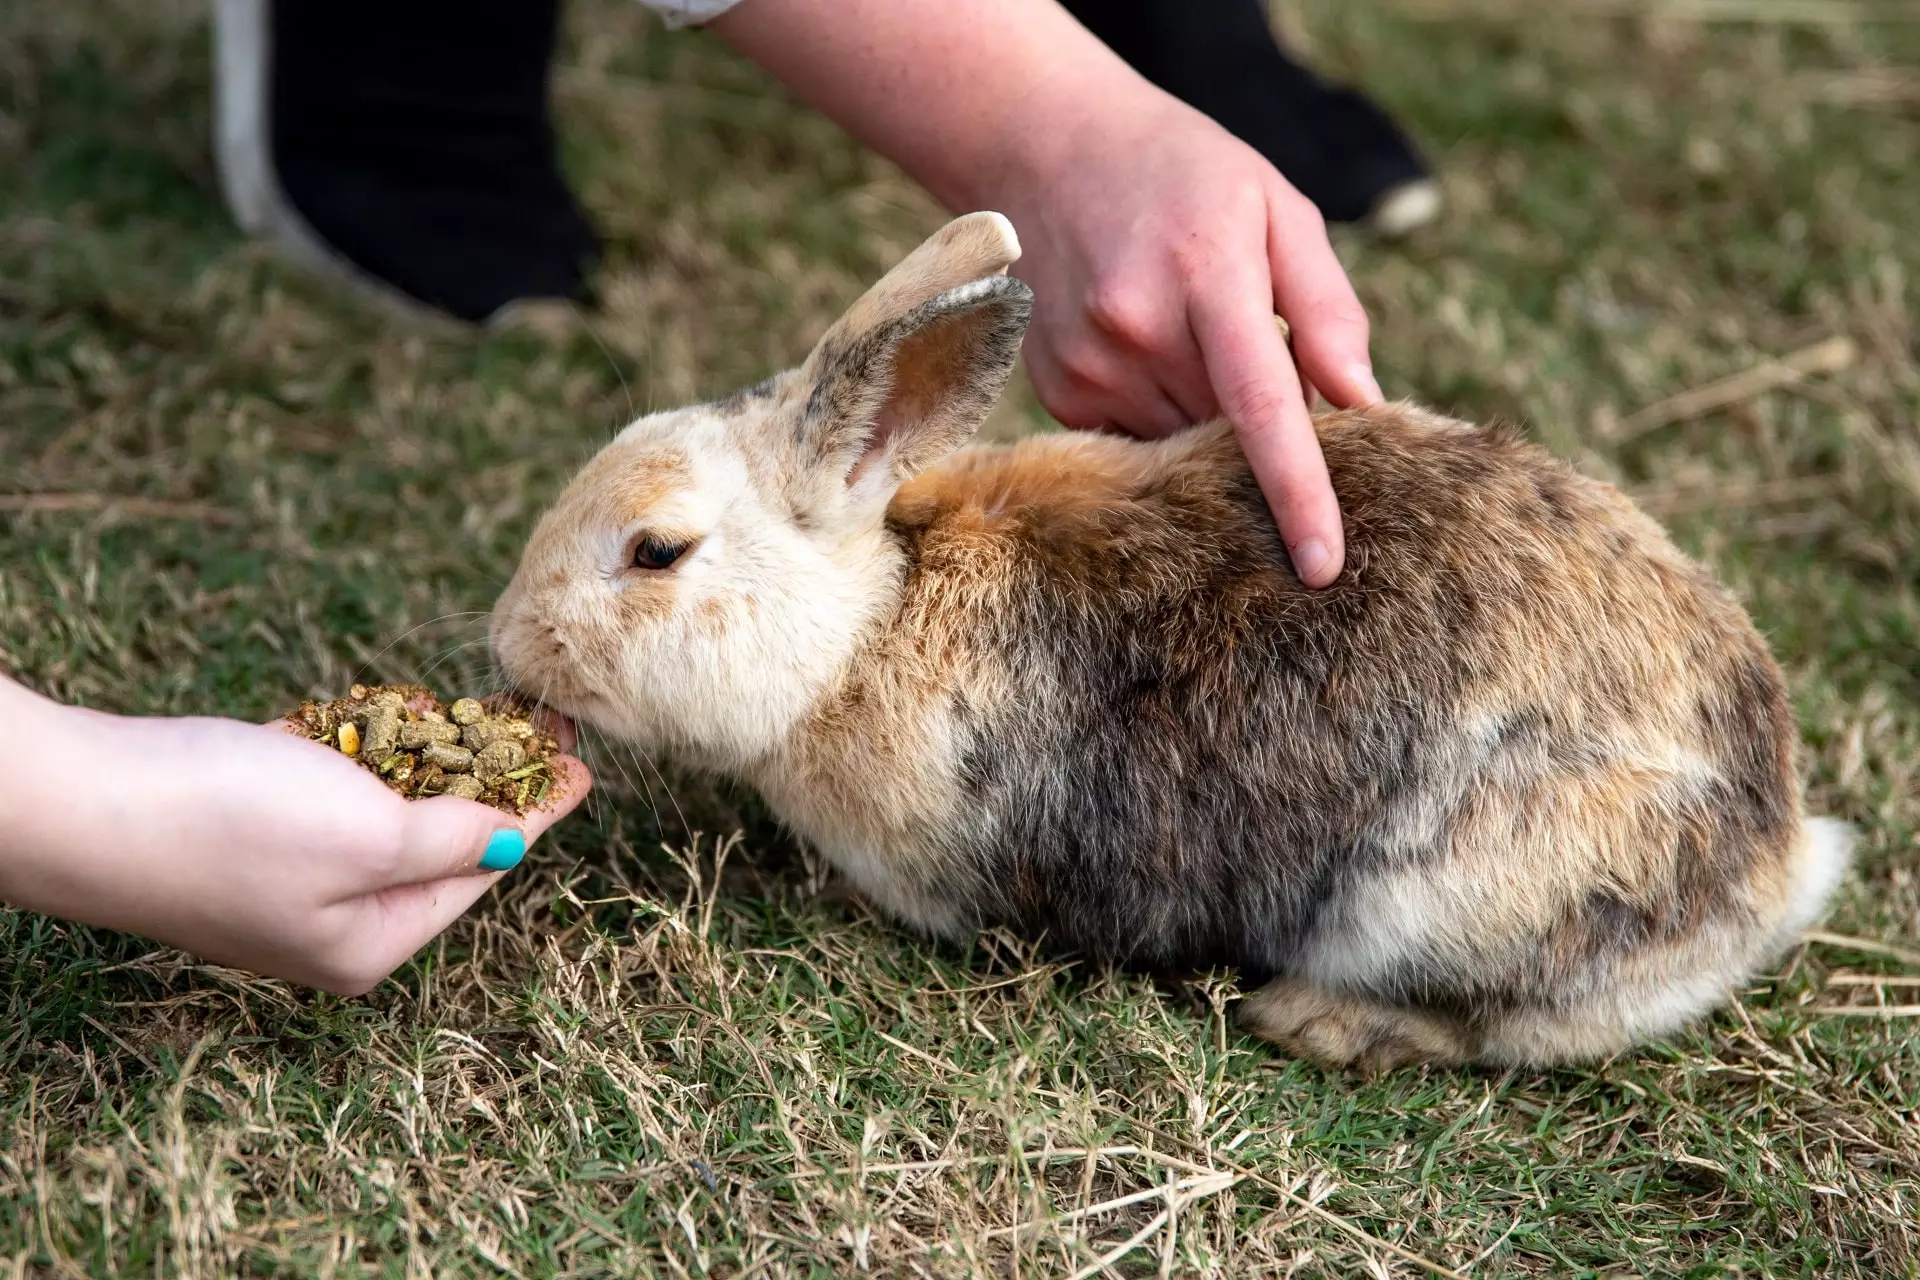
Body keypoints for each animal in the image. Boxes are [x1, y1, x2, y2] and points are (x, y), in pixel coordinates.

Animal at [491, 212, 1851, 1071]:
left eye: (657, 552)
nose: (510, 644)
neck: (869, 625)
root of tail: (1779, 849)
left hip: (1445, 900)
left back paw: (1318, 1023)